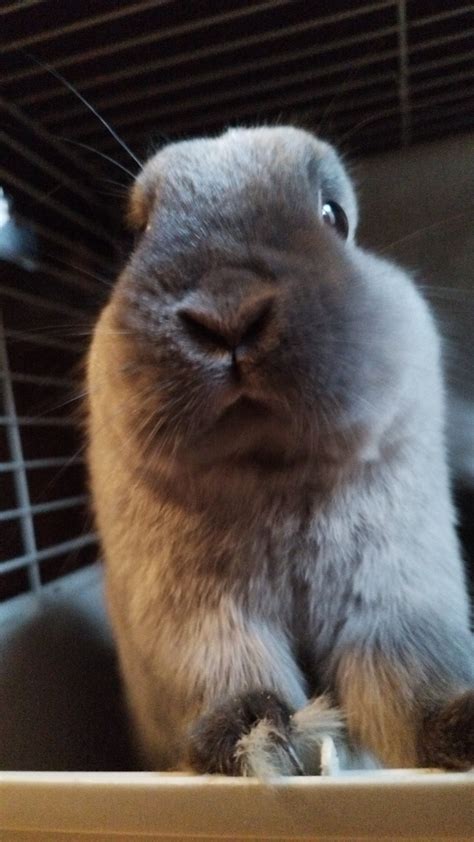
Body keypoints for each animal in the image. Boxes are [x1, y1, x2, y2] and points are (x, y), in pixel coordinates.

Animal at [86, 126, 474, 775]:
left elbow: (407, 697)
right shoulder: (199, 622)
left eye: (333, 216)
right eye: (138, 234)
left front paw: (460, 728)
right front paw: (257, 736)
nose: (228, 313)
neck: (272, 473)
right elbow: (230, 677)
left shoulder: (391, 606)